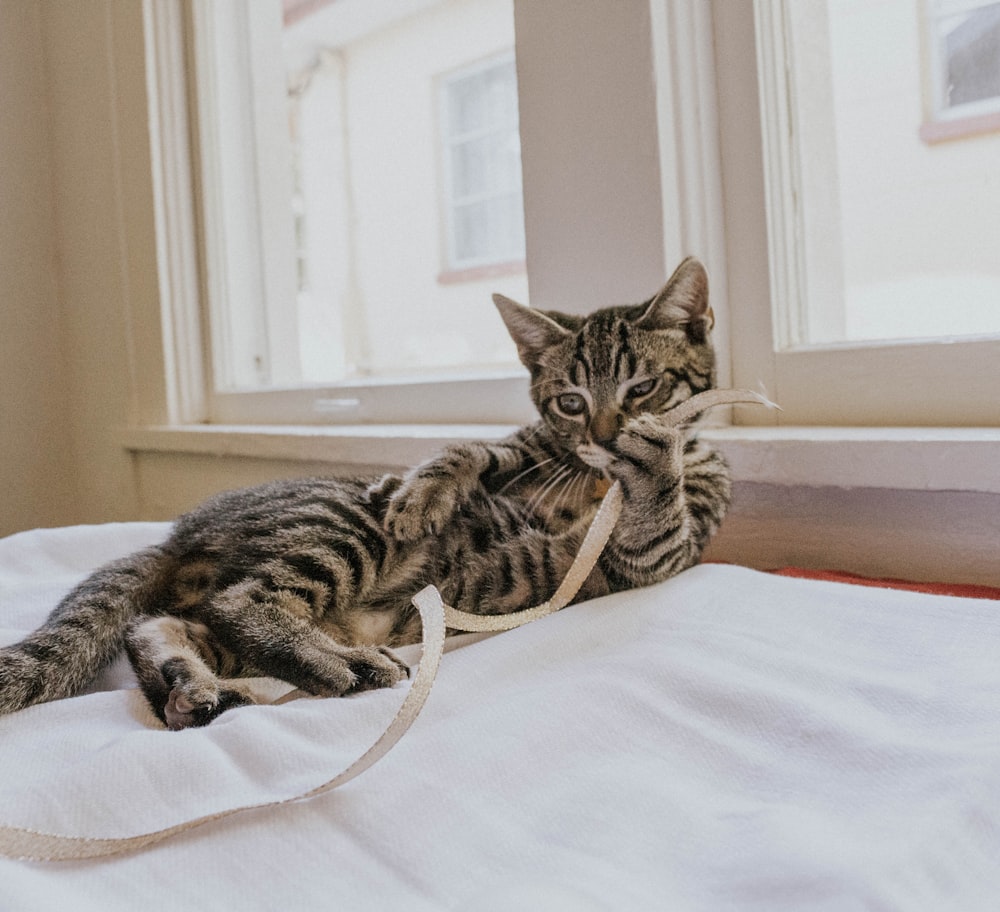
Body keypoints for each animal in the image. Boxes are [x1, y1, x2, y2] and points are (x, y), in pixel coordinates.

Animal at [1, 260, 736, 732]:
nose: (607, 433)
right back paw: (338, 666)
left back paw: (193, 688)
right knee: (240, 601)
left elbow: (655, 516)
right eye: (571, 401)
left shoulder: (658, 550)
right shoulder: (534, 451)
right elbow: (474, 452)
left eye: (643, 388)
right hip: (344, 528)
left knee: (164, 624)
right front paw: (424, 489)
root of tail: (180, 532)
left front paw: (654, 453)